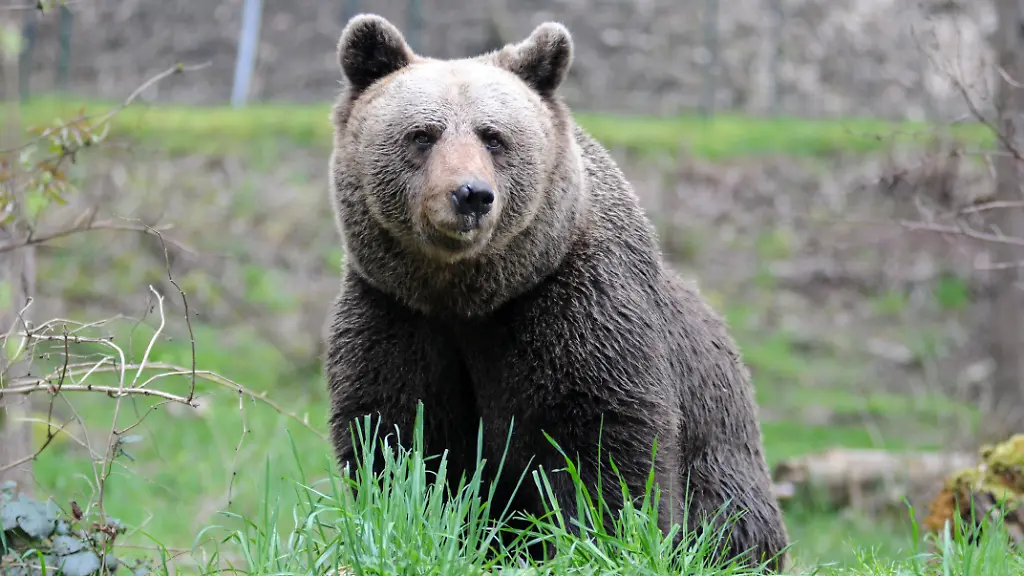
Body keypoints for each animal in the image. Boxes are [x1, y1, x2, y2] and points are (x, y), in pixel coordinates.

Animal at [323, 13, 789, 571]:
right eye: (422, 134)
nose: (471, 195)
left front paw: (595, 539)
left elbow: (599, 437)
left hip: (725, 459)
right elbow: (397, 435)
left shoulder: (572, 303)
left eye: (493, 136)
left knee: (728, 522)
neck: (469, 295)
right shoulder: (396, 311)